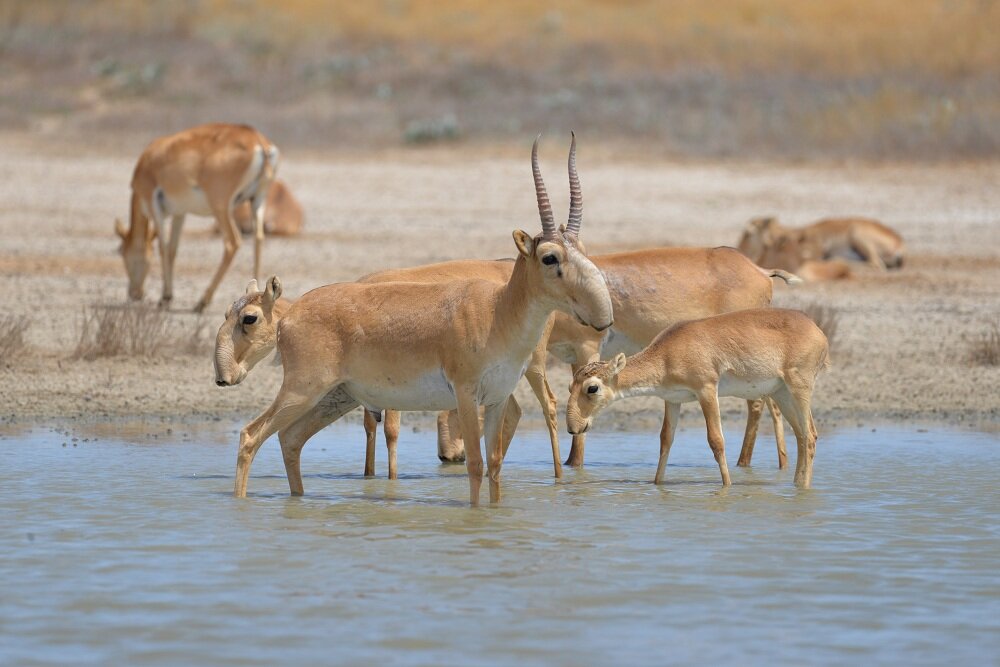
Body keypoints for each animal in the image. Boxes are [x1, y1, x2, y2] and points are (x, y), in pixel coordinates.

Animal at [118, 122, 282, 310]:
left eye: (121, 251)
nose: (134, 293)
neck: (151, 158)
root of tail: (257, 140)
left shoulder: (155, 208)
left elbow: (162, 247)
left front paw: (164, 298)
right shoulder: (180, 213)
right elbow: (173, 249)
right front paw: (168, 295)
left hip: (221, 208)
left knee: (232, 243)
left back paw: (202, 302)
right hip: (257, 201)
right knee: (258, 239)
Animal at [230, 136, 612, 504]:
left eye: (581, 249)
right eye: (550, 257)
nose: (603, 315)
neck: (497, 312)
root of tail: (290, 316)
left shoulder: (497, 400)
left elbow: (495, 465)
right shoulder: (466, 396)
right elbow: (476, 464)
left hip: (335, 397)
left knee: (290, 438)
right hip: (303, 391)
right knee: (251, 435)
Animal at [568, 310, 832, 490]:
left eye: (592, 388)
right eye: (570, 386)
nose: (573, 428)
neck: (666, 354)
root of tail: (819, 331)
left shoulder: (707, 391)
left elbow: (716, 440)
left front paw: (727, 486)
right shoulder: (672, 400)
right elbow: (665, 440)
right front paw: (657, 484)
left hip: (799, 389)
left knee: (810, 435)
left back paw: (804, 488)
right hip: (782, 394)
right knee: (801, 436)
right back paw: (796, 485)